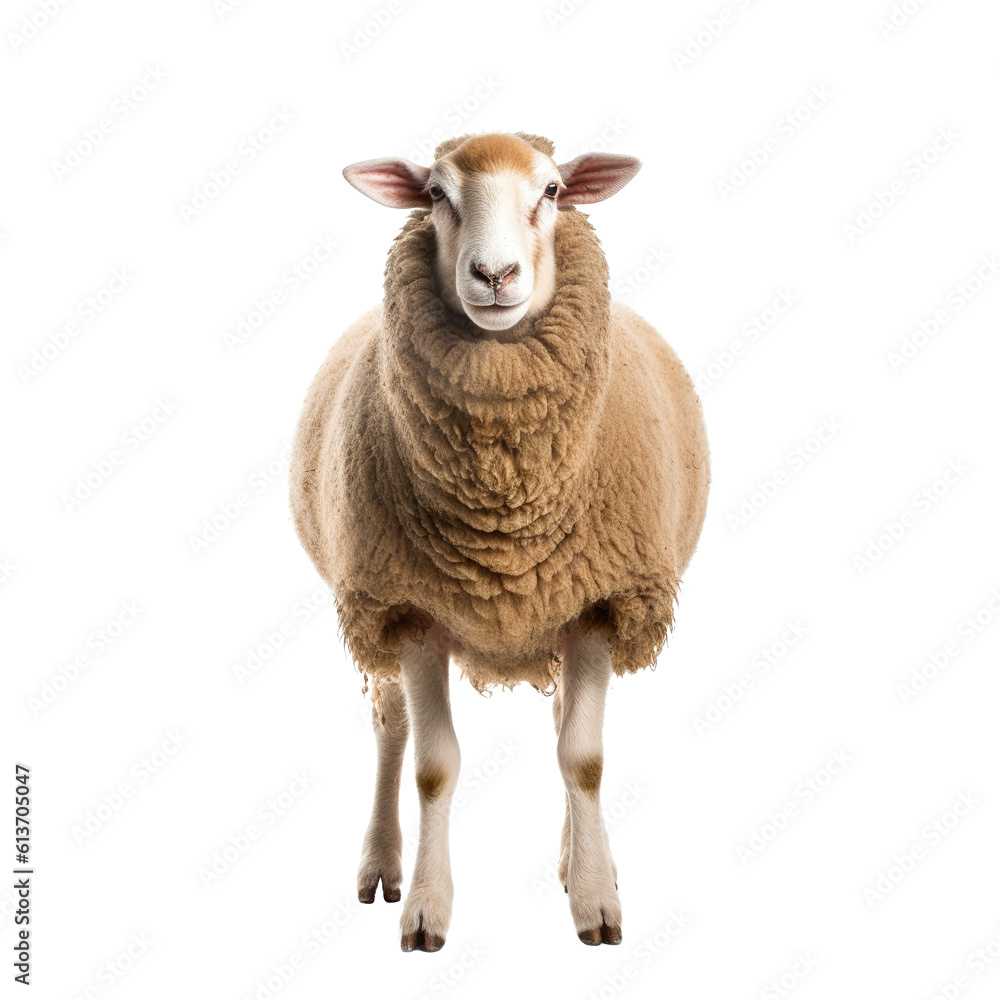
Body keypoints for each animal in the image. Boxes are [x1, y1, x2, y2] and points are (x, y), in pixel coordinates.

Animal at [289, 131, 710, 951]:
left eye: (551, 191)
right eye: (435, 194)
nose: (494, 275)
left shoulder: (597, 601)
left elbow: (582, 758)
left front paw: (595, 902)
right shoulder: (411, 608)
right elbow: (433, 765)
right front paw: (426, 910)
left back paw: (581, 861)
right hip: (370, 603)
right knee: (389, 725)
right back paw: (381, 864)